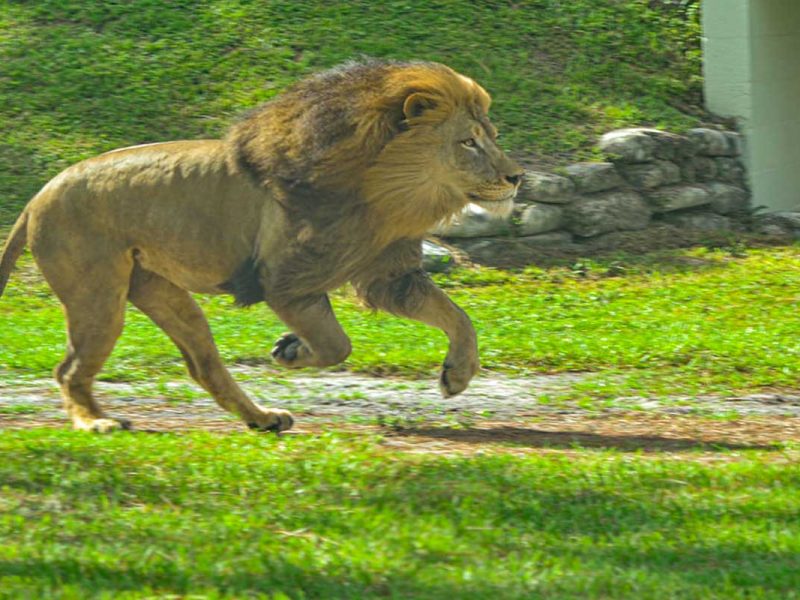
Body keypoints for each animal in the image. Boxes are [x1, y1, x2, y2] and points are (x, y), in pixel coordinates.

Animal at [0, 59, 523, 433]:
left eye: (493, 137)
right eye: (468, 142)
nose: (517, 177)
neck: (386, 192)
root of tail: (37, 197)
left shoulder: (388, 273)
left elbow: (456, 315)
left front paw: (458, 374)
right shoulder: (285, 280)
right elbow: (336, 345)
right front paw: (293, 351)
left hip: (161, 291)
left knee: (203, 366)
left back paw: (263, 419)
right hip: (97, 293)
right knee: (69, 369)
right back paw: (97, 423)